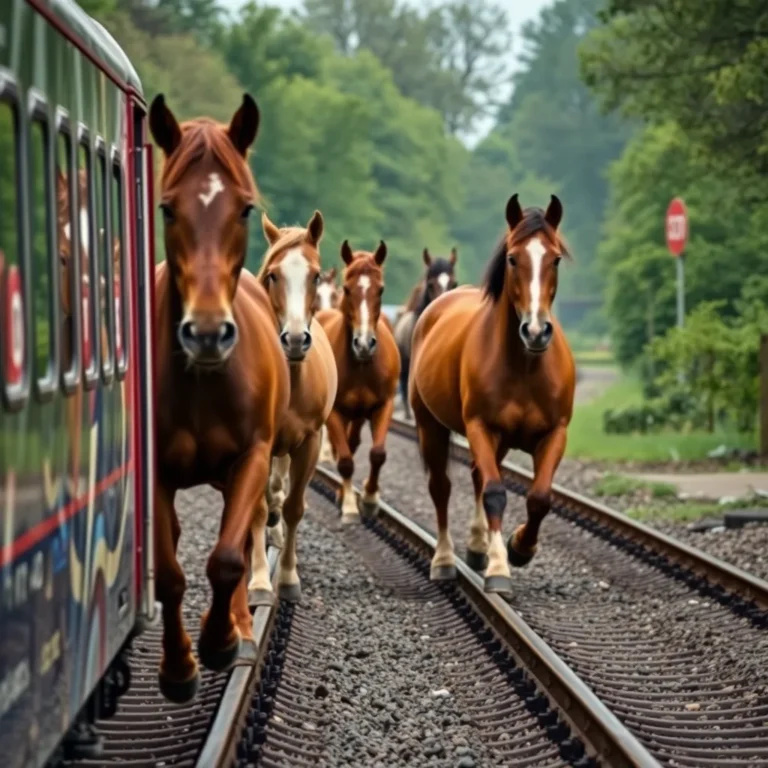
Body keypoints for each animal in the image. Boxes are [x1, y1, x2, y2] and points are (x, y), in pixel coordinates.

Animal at [315, 240, 400, 522]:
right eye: (346, 289)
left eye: (381, 289)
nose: (364, 344)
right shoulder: (334, 411)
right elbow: (344, 460)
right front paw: (351, 505)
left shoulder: (383, 404)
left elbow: (377, 454)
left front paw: (371, 500)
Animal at [409, 194, 575, 595]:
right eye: (513, 258)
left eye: (555, 259)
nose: (535, 331)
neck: (525, 365)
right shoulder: (481, 428)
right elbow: (496, 492)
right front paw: (500, 566)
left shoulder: (555, 433)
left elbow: (539, 497)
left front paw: (520, 548)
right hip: (430, 425)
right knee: (442, 486)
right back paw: (445, 560)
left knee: (475, 477)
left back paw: (477, 547)